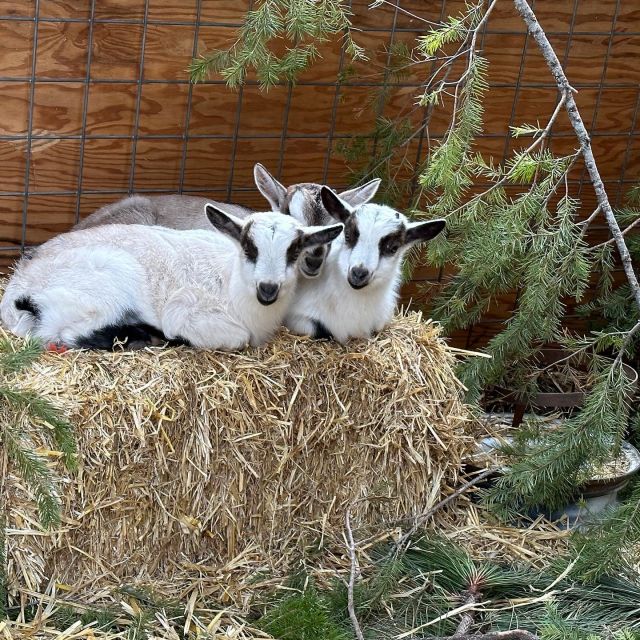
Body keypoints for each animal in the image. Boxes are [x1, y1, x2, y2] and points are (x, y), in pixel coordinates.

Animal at [1, 206, 343, 351]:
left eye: (294, 251)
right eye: (249, 246)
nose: (268, 289)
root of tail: (17, 293)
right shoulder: (185, 310)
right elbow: (238, 338)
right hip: (108, 285)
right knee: (69, 335)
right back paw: (148, 336)